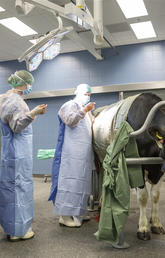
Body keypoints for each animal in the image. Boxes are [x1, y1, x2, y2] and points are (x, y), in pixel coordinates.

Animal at [92, 92, 165, 240]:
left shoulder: (159, 167)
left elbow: (155, 195)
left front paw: (156, 223)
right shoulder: (137, 166)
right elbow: (143, 196)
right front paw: (143, 228)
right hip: (98, 159)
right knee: (101, 177)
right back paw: (101, 203)